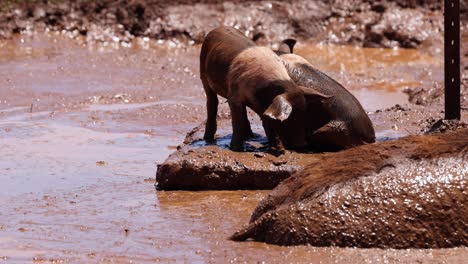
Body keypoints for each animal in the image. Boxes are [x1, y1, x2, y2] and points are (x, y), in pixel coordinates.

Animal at [200, 26, 330, 153]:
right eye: (291, 118)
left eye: (304, 115)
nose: (303, 144)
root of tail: (217, 28)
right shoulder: (234, 96)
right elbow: (237, 122)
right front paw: (236, 149)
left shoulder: (265, 106)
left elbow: (268, 123)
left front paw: (278, 149)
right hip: (203, 73)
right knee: (212, 102)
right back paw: (208, 139)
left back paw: (251, 136)